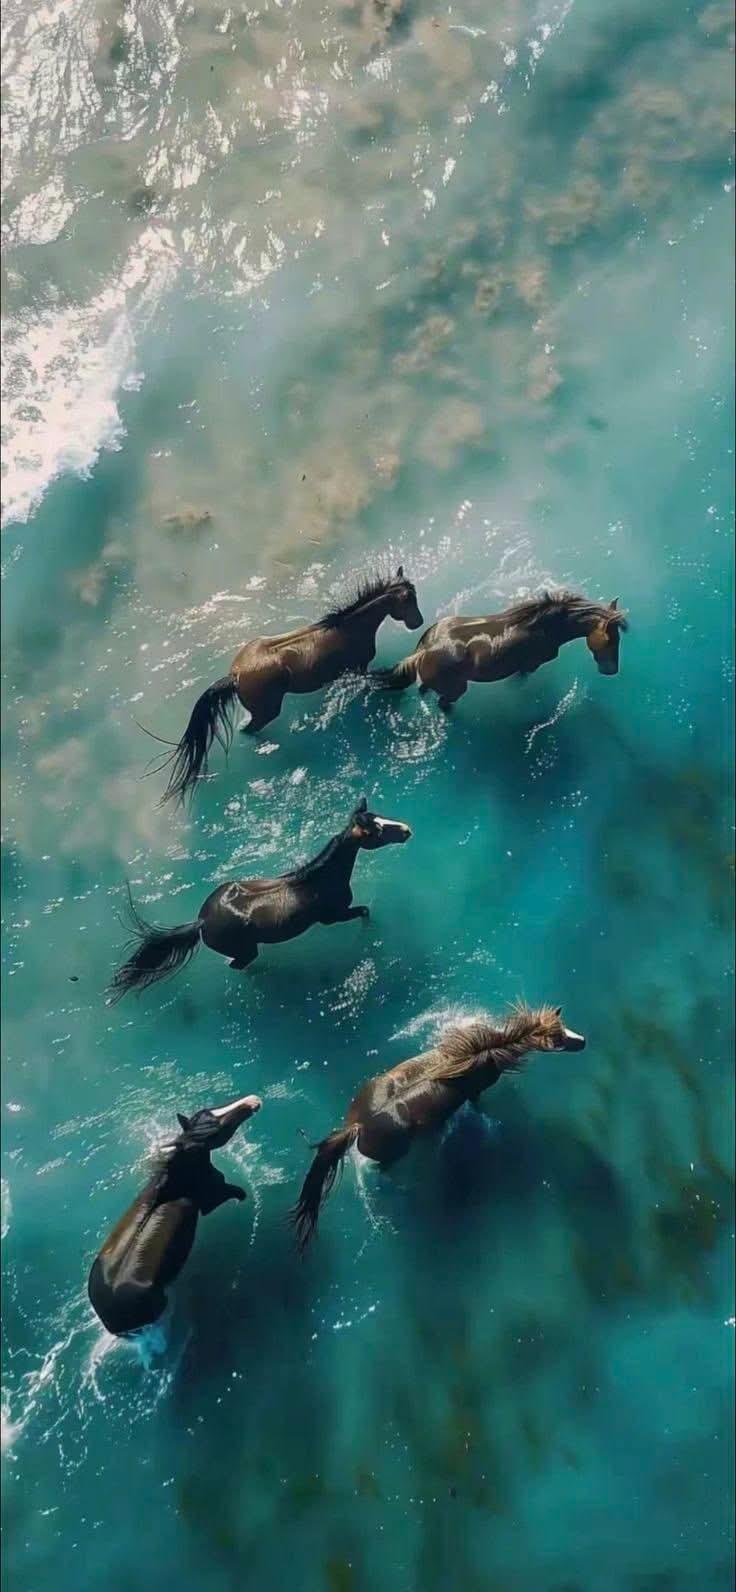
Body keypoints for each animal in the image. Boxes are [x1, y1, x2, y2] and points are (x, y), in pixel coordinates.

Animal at [87, 1092, 262, 1336]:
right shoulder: (213, 1196)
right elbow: (234, 1192)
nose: (254, 1101)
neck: (175, 1184)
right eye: (214, 1127)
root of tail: (109, 1319)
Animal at [108, 800, 412, 1000]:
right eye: (378, 830)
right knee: (239, 966)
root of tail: (201, 921)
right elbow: (364, 911)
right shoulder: (333, 916)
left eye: (382, 817)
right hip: (247, 951)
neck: (318, 879)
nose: (407, 830)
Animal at [151, 568, 423, 803]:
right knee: (250, 730)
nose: (418, 622)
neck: (349, 627)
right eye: (409, 601)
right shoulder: (360, 668)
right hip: (266, 712)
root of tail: (235, 676)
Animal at [291, 1004, 586, 1248]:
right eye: (559, 1041)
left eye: (565, 1027)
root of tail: (358, 1126)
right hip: (393, 1154)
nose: (583, 1042)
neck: (487, 1049)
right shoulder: (476, 1093)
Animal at [374, 590, 627, 708]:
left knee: (423, 688)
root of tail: (423, 651)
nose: (611, 671)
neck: (546, 626)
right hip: (456, 689)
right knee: (444, 702)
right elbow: (523, 673)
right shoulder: (532, 664)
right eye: (612, 640)